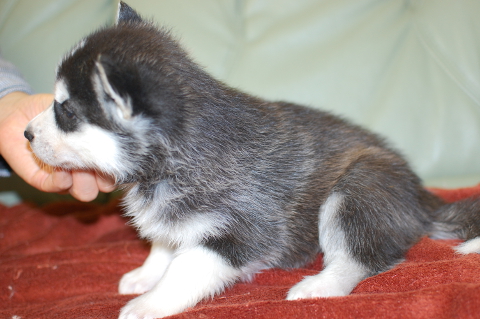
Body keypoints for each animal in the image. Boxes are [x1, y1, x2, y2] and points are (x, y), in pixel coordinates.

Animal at [25, 2, 480, 319]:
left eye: (66, 111)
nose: (26, 133)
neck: (176, 157)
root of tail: (421, 197)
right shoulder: (176, 218)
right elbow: (163, 245)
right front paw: (145, 275)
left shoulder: (244, 232)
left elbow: (187, 266)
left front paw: (151, 302)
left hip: (357, 190)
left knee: (362, 258)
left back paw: (319, 286)